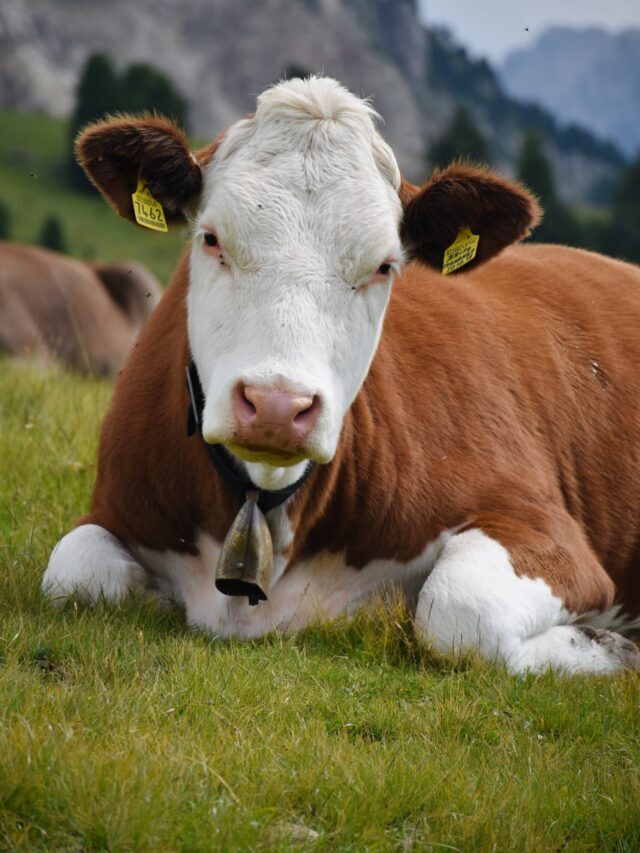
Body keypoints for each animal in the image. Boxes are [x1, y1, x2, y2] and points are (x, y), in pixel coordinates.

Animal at [42, 76, 640, 675]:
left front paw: (614, 649)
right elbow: (73, 573)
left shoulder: (542, 526)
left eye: (384, 266)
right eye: (211, 238)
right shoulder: (115, 505)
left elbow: (459, 609)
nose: (277, 406)